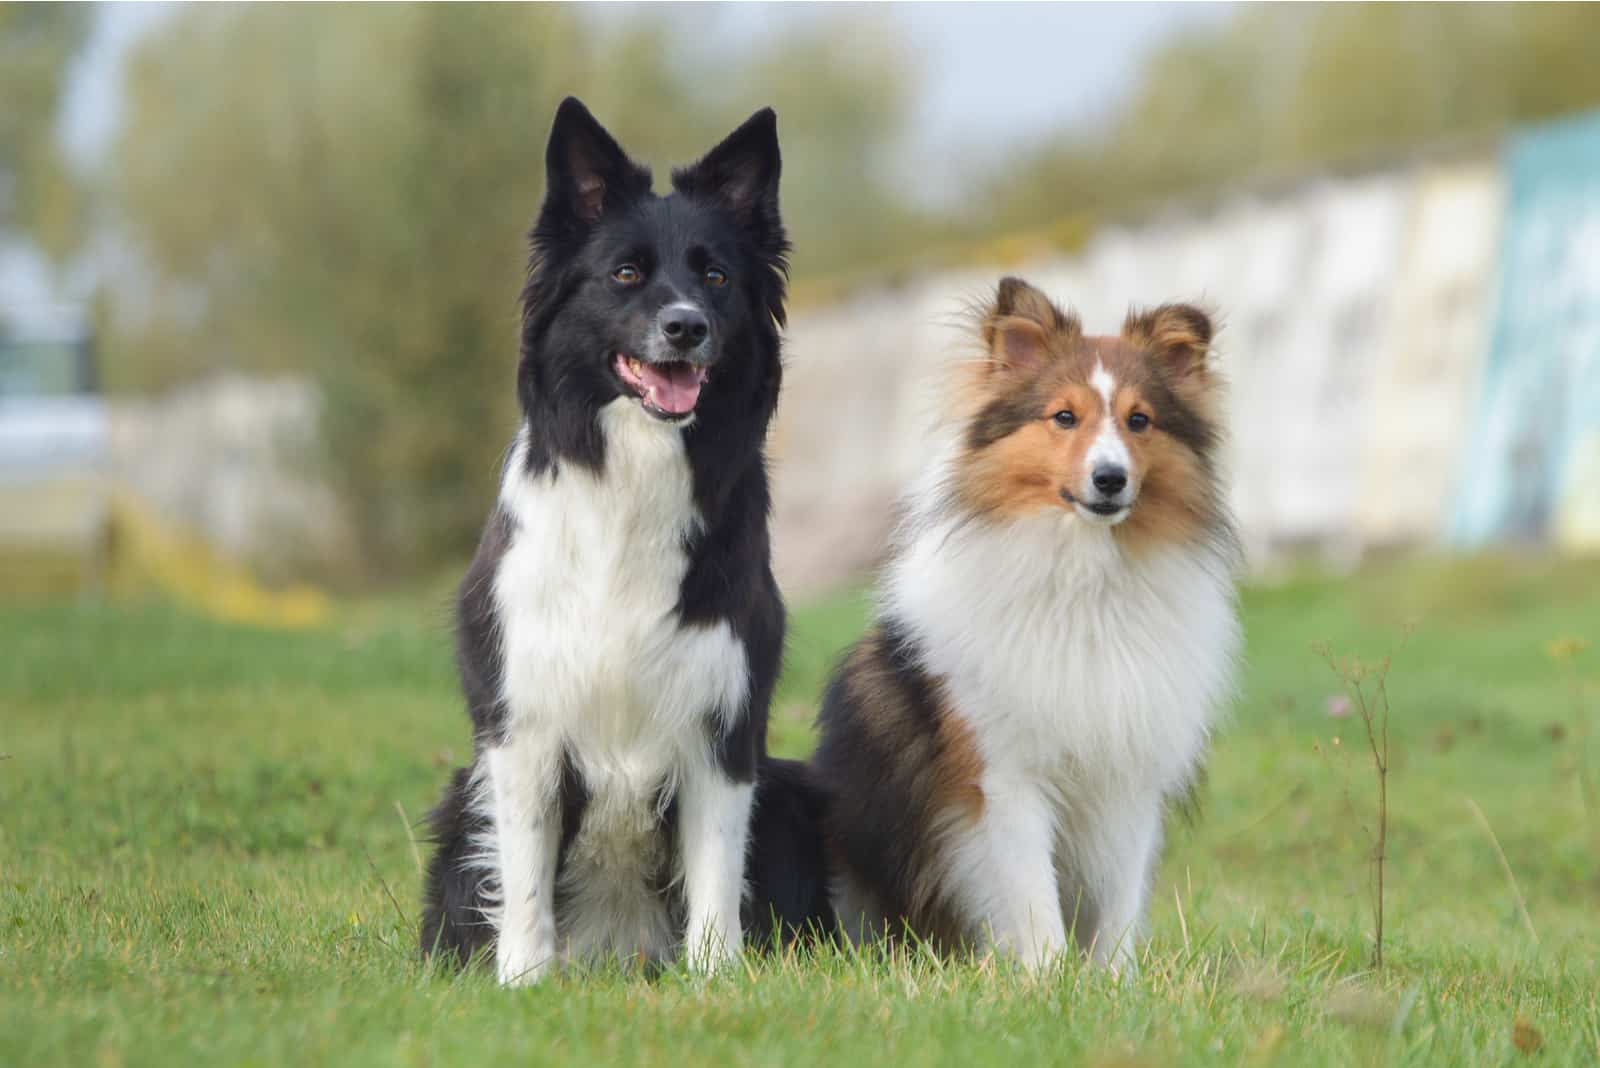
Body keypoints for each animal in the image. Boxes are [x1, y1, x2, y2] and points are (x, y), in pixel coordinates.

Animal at [422, 97, 812, 984]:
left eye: (716, 277)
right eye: (625, 275)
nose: (686, 327)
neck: (634, 477)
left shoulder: (725, 728)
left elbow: (715, 874)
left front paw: (715, 979)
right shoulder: (524, 724)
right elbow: (524, 874)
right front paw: (523, 981)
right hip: (463, 798)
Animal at [812, 278, 1235, 978]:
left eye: (1139, 420)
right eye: (1064, 417)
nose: (1110, 479)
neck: (1083, 578)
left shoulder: (1129, 772)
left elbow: (1118, 902)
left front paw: (1113, 983)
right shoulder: (1004, 774)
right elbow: (1030, 895)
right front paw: (1047, 979)